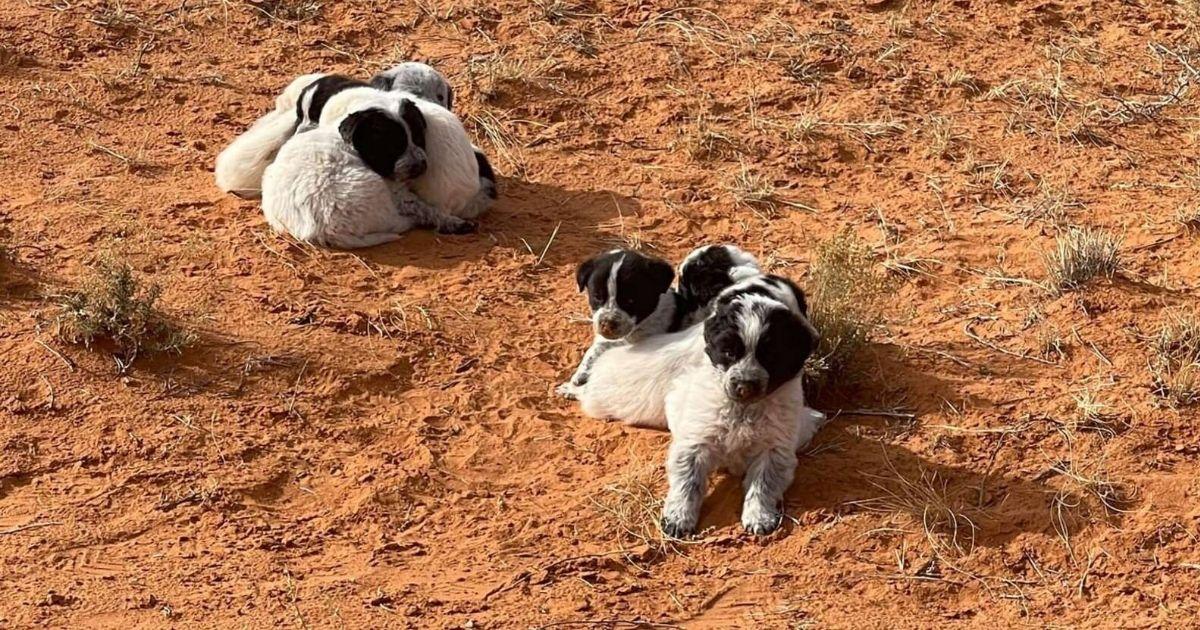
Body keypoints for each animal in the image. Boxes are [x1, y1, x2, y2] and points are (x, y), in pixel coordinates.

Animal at [262, 101, 472, 248]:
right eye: (391, 145)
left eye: (419, 137)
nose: (419, 167)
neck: (351, 144)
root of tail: (325, 232)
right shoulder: (397, 192)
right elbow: (425, 208)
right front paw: (451, 221)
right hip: (377, 192)